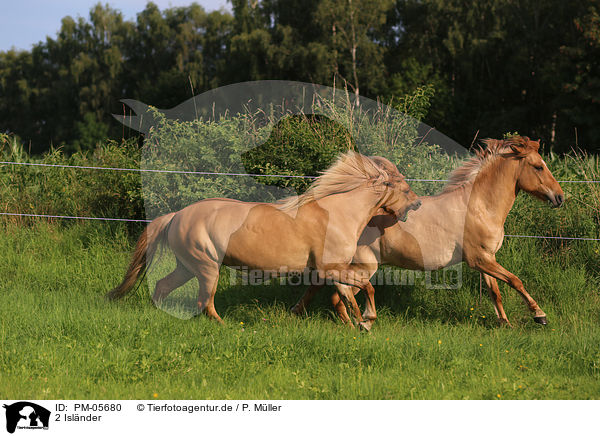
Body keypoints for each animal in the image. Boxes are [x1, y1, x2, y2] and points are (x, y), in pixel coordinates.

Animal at [110, 152, 424, 322]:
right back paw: (226, 326)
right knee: (205, 302)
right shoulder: (330, 268)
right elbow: (365, 288)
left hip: (187, 266)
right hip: (207, 267)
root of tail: (176, 216)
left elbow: (344, 296)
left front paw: (355, 323)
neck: (338, 213)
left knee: (163, 286)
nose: (418, 204)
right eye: (405, 188)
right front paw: (367, 320)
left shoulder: (331, 270)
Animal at [292, 135, 564, 328]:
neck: (480, 207)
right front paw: (540, 315)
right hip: (363, 266)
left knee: (325, 291)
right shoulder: (480, 259)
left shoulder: (486, 259)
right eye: (539, 167)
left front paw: (504, 323)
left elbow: (495, 291)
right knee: (337, 294)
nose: (560, 197)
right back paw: (355, 323)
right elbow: (516, 280)